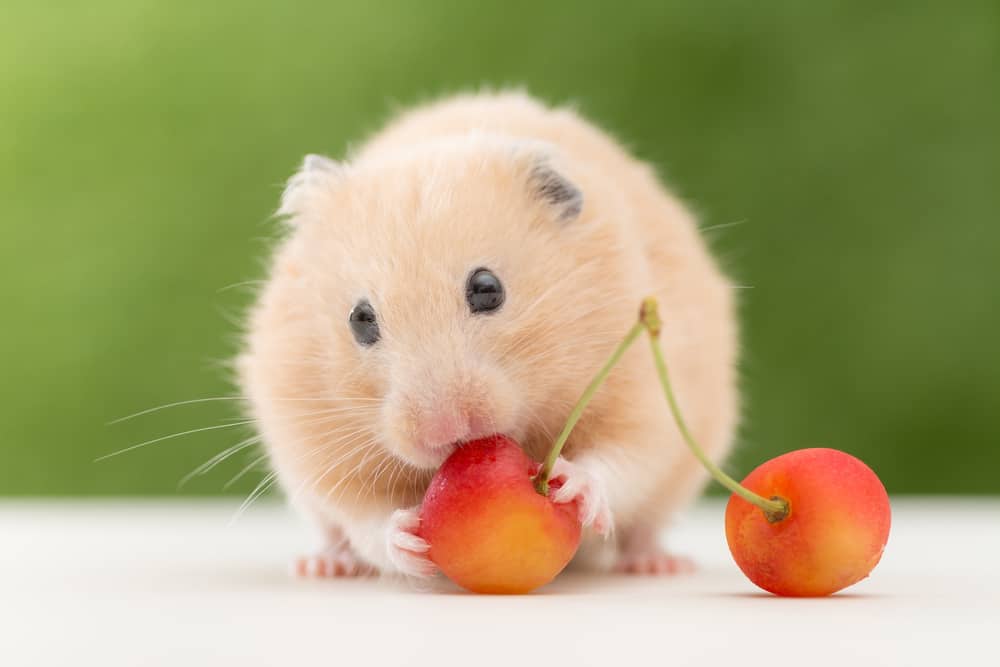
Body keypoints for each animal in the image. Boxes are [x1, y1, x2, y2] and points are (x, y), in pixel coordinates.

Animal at [238, 91, 740, 576]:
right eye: (359, 320)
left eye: (487, 289)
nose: (445, 432)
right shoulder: (315, 443)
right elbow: (363, 517)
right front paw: (408, 538)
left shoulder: (644, 395)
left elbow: (622, 457)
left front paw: (569, 485)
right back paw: (323, 566)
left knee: (645, 525)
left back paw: (658, 564)